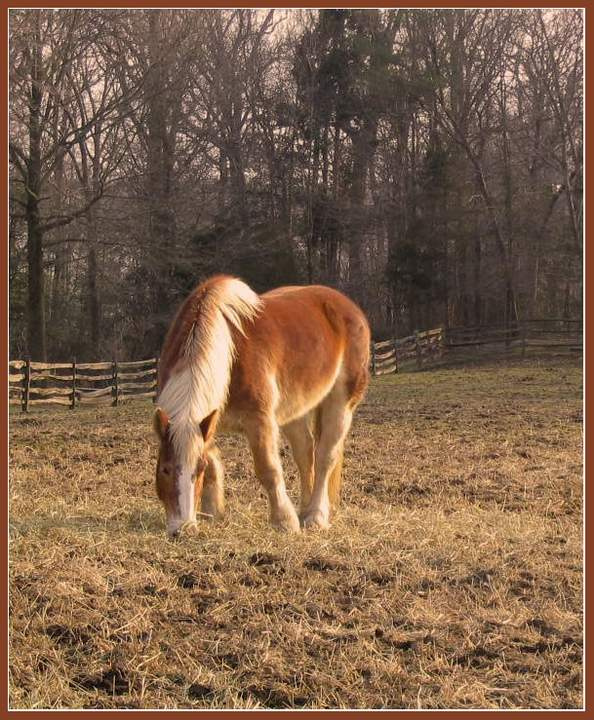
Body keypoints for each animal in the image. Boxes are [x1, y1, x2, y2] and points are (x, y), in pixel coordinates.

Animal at [152, 275, 370, 537]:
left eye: (197, 470)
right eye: (165, 469)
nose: (183, 530)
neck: (228, 352)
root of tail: (349, 307)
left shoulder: (259, 421)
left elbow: (268, 469)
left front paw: (284, 522)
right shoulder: (208, 421)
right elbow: (214, 461)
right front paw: (213, 513)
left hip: (341, 403)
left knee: (325, 456)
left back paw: (316, 517)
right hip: (294, 410)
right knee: (305, 453)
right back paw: (305, 510)